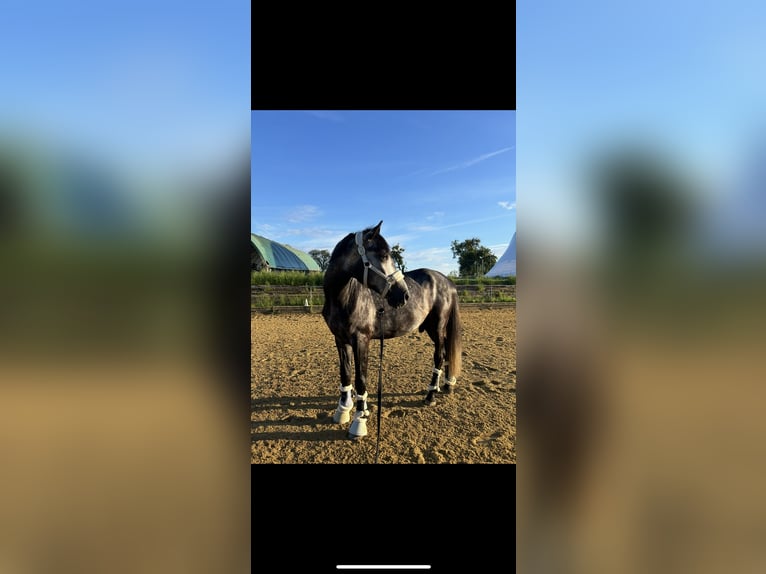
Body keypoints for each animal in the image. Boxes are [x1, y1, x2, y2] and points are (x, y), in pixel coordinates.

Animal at [322, 221, 463, 439]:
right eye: (382, 256)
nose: (403, 295)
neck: (344, 297)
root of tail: (446, 281)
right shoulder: (340, 339)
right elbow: (345, 374)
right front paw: (343, 410)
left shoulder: (361, 340)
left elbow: (361, 379)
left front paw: (359, 421)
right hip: (432, 329)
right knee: (447, 351)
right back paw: (447, 385)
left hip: (438, 327)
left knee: (439, 355)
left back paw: (430, 395)